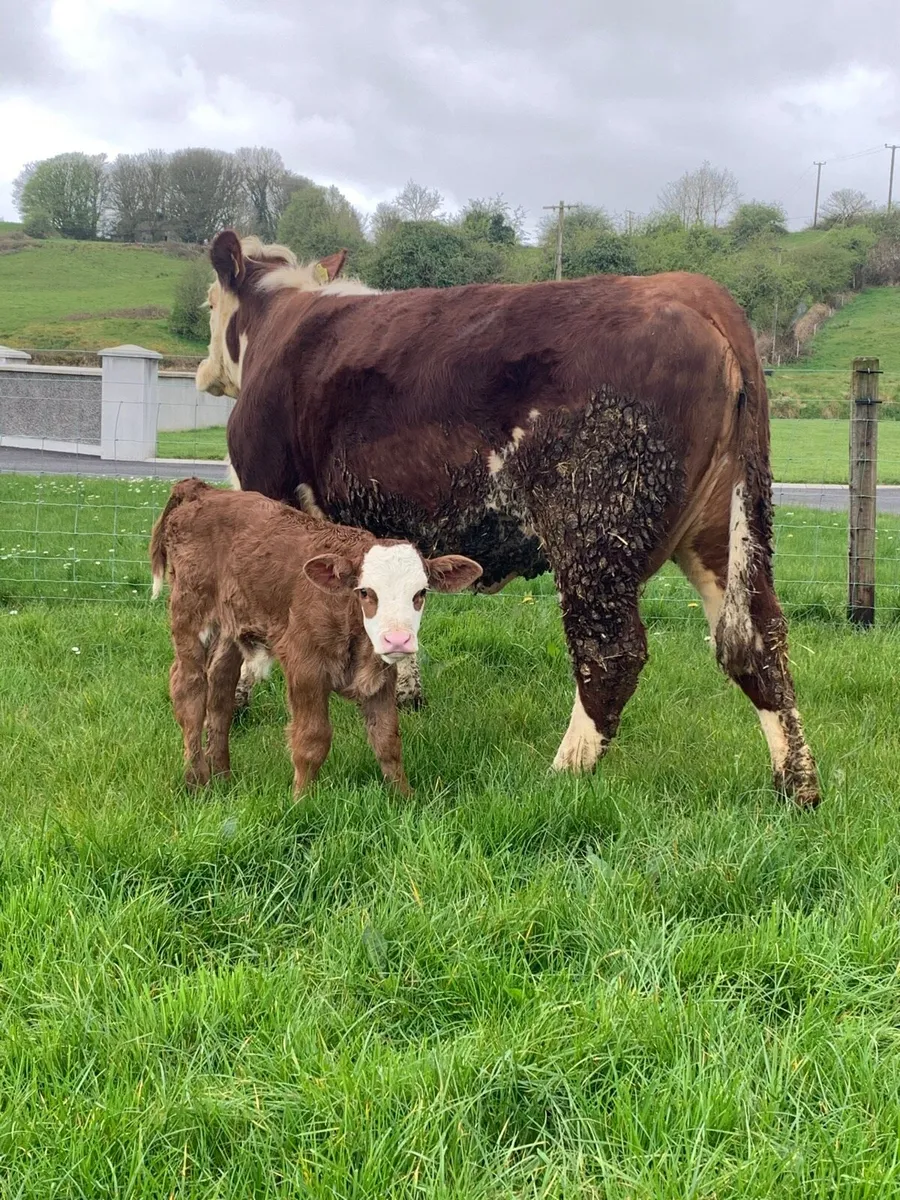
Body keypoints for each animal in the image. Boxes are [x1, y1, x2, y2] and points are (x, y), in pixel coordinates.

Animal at [149, 477, 482, 796]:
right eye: (365, 592)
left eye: (421, 592)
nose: (397, 640)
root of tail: (202, 490)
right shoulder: (304, 666)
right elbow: (312, 740)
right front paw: (301, 799)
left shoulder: (381, 676)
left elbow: (387, 740)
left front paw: (405, 797)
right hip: (190, 612)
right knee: (189, 689)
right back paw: (196, 781)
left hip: (231, 626)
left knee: (220, 689)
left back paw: (222, 776)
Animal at [195, 230, 821, 808]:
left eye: (206, 304)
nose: (203, 370)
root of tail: (694, 290)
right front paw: (404, 694)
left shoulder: (266, 488)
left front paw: (242, 701)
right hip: (726, 525)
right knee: (755, 639)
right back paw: (797, 787)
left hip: (594, 528)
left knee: (612, 654)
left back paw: (560, 777)